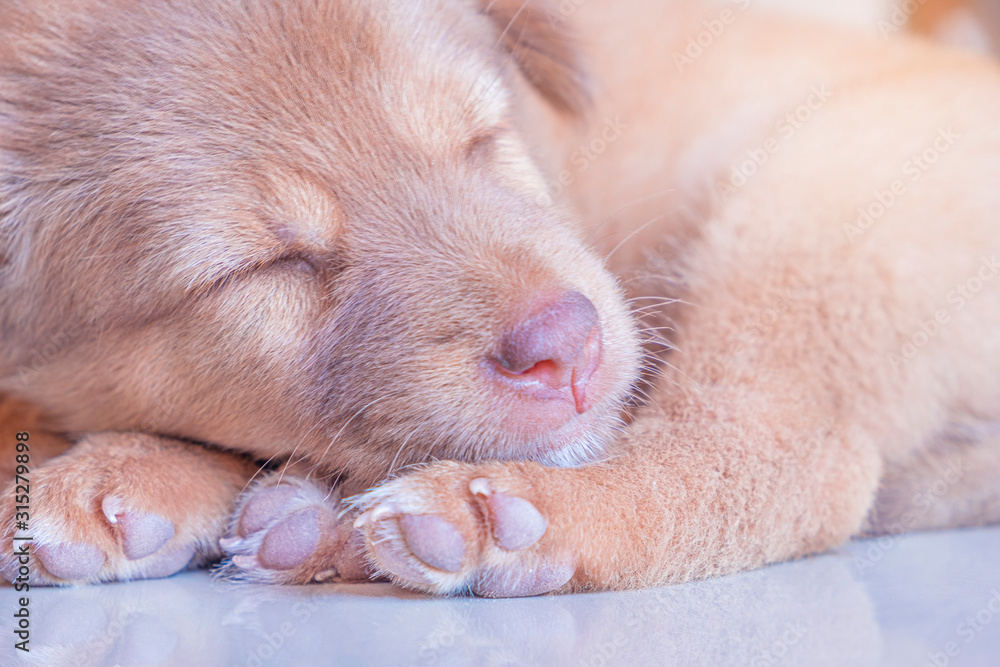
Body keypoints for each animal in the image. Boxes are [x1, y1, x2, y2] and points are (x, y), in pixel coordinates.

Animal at [2, 0, 999, 597]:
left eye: (481, 138)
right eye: (262, 267)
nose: (567, 346)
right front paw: (126, 471)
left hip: (818, 201)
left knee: (785, 463)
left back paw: (492, 517)